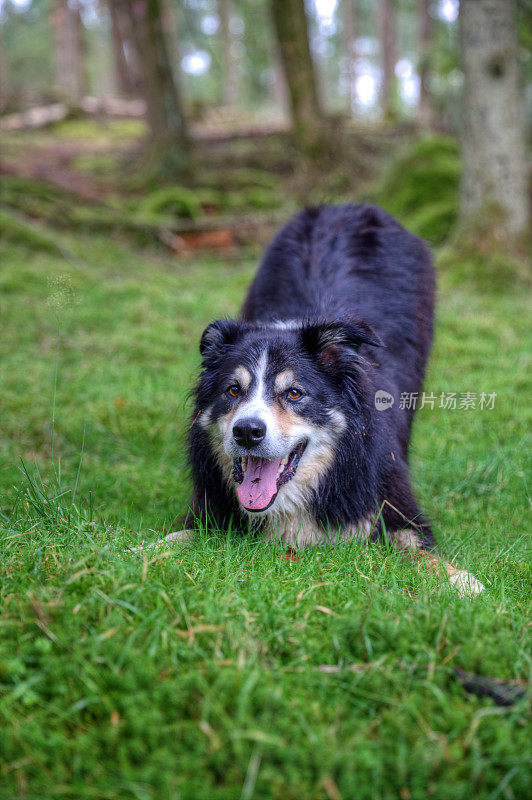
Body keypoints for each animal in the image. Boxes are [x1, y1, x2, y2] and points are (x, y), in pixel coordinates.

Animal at [167, 203, 486, 596]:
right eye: (233, 390)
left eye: (294, 392)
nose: (247, 432)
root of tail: (348, 206)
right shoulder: (212, 512)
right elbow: (178, 537)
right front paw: (134, 551)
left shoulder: (387, 496)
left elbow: (416, 545)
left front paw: (461, 580)